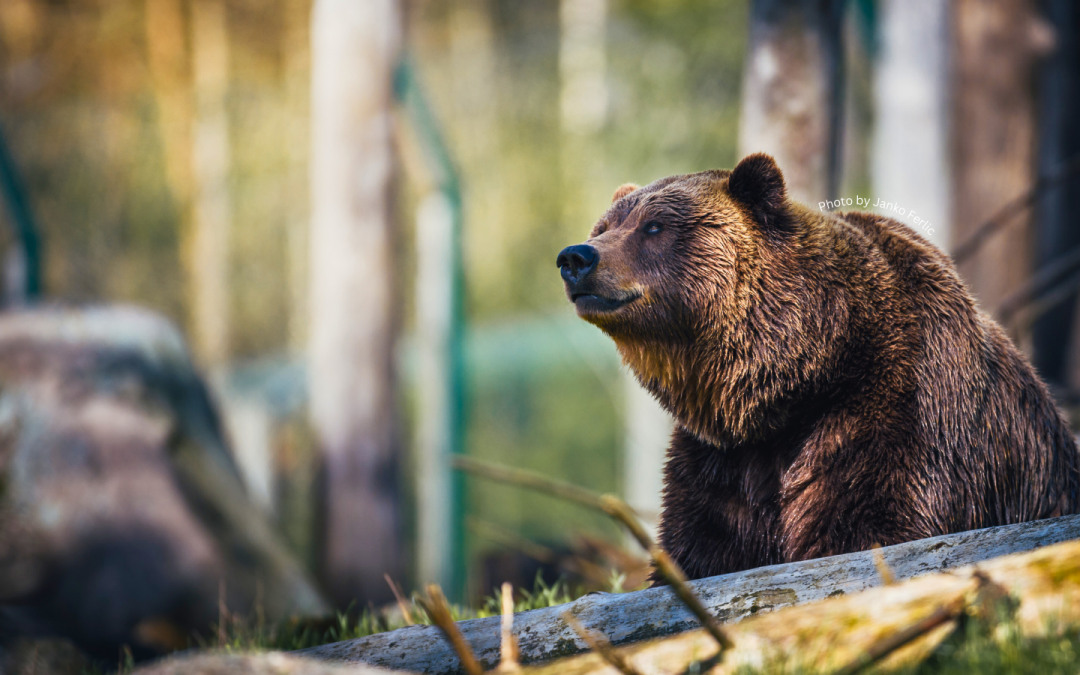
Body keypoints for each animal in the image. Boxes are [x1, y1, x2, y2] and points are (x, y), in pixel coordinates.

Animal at [557, 152, 1080, 578]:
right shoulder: (722, 461)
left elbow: (869, 524)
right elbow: (703, 546)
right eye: (604, 227)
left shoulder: (896, 410)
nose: (576, 257)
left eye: (654, 227)